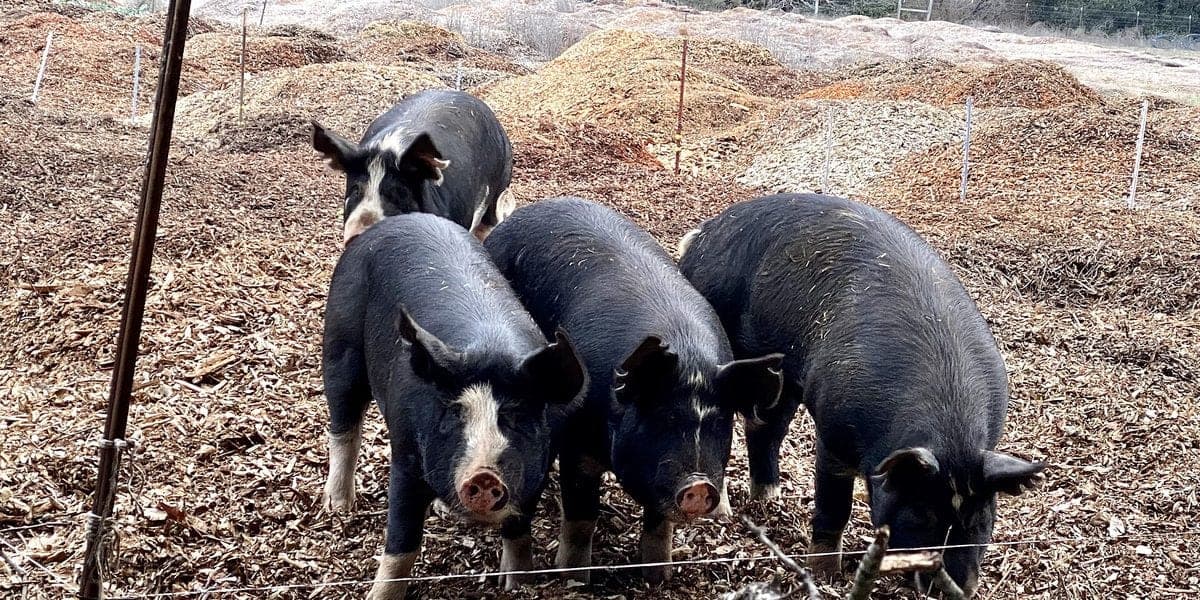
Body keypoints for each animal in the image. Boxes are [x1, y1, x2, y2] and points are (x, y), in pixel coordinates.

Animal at [321, 213, 586, 599]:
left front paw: (517, 583)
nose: (484, 475)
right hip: (340, 344)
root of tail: (401, 219)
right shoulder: (407, 454)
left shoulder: (539, 466)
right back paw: (338, 507)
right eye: (455, 412)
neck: (490, 347)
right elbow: (403, 540)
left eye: (516, 415)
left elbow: (519, 528)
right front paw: (378, 596)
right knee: (344, 426)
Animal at [484, 197, 784, 585]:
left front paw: (659, 576)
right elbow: (582, 514)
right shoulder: (578, 441)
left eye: (719, 423)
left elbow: (659, 522)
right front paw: (574, 577)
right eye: (663, 418)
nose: (699, 485)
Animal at [677, 193, 1045, 596]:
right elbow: (834, 506)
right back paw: (726, 513)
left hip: (783, 379)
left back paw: (770, 498)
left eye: (981, 519)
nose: (955, 589)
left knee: (765, 429)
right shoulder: (834, 435)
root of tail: (703, 232)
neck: (948, 432)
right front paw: (826, 575)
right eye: (923, 515)